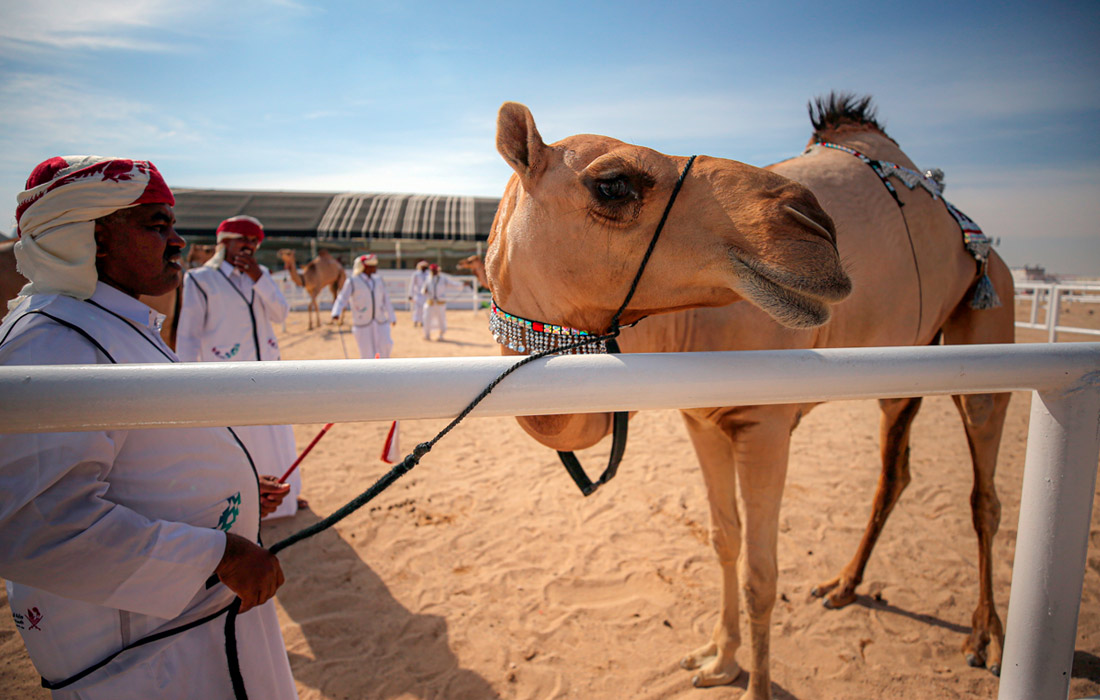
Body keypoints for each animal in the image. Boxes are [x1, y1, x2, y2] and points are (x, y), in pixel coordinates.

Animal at [486, 94, 1016, 700]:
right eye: (613, 184)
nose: (815, 224)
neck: (680, 332)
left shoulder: (764, 423)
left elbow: (761, 574)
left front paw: (755, 684)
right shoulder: (702, 420)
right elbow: (724, 540)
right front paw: (717, 659)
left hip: (989, 317)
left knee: (984, 489)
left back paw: (987, 639)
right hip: (908, 362)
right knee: (894, 472)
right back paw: (843, 585)